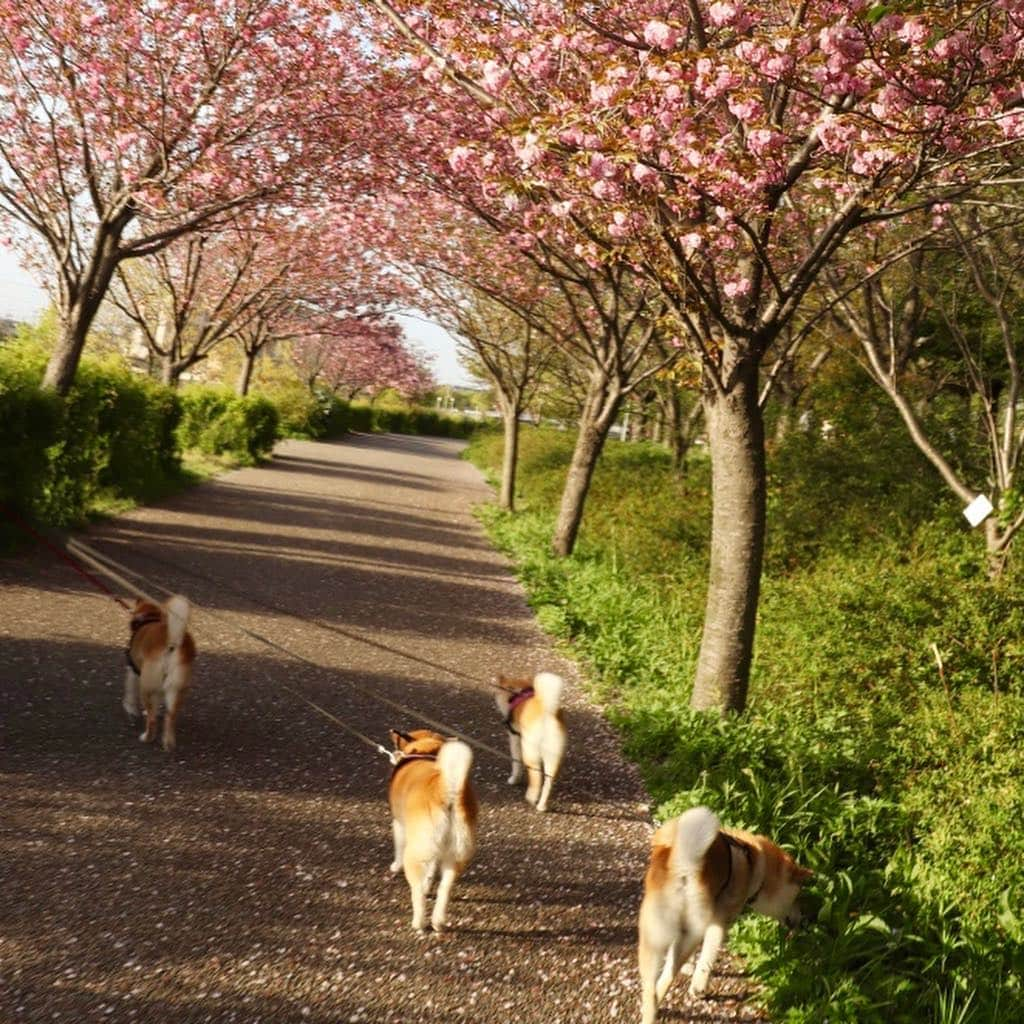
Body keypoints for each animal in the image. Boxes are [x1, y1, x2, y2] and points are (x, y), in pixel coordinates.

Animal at [121, 593, 195, 753]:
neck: (150, 618)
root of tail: (172, 643)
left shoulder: (133, 671)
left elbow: (129, 691)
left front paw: (130, 708)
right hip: (176, 689)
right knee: (170, 717)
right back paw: (168, 743)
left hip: (146, 687)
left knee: (152, 720)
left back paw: (146, 737)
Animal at [387, 724, 479, 933]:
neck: (425, 752)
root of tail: (447, 789)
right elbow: (430, 874)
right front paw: (428, 884)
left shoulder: (399, 825)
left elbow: (397, 849)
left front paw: (395, 866)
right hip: (455, 856)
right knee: (444, 889)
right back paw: (438, 921)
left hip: (415, 854)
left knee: (417, 893)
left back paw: (419, 922)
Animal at [495, 671, 569, 815]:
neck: (516, 694)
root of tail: (547, 713)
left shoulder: (514, 739)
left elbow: (516, 764)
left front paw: (513, 779)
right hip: (553, 756)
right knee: (547, 783)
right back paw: (541, 806)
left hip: (530, 751)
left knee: (536, 777)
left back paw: (531, 796)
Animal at [634, 802, 811, 1019]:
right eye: (797, 897)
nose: (803, 920)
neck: (754, 864)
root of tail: (682, 865)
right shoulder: (718, 923)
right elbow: (707, 960)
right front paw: (698, 986)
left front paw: (688, 968)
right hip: (690, 931)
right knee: (665, 979)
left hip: (652, 938)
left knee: (650, 986)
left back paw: (648, 1010)